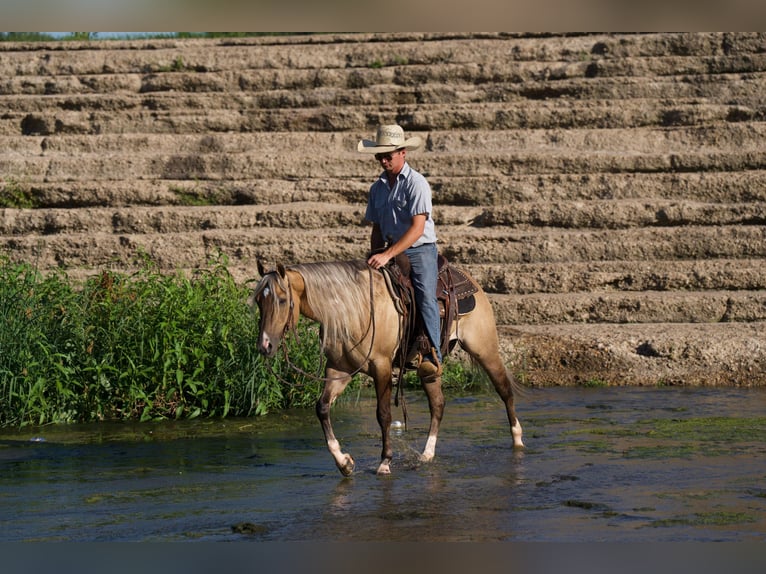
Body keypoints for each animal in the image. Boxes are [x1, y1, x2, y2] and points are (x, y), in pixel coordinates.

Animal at [253, 258, 524, 476]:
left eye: (282, 299)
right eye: (258, 301)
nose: (265, 346)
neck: (356, 309)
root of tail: (468, 280)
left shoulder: (381, 366)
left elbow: (383, 414)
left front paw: (385, 462)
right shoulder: (339, 370)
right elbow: (322, 408)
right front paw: (344, 463)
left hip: (484, 349)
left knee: (504, 389)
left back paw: (518, 439)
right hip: (430, 368)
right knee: (437, 405)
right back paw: (427, 454)